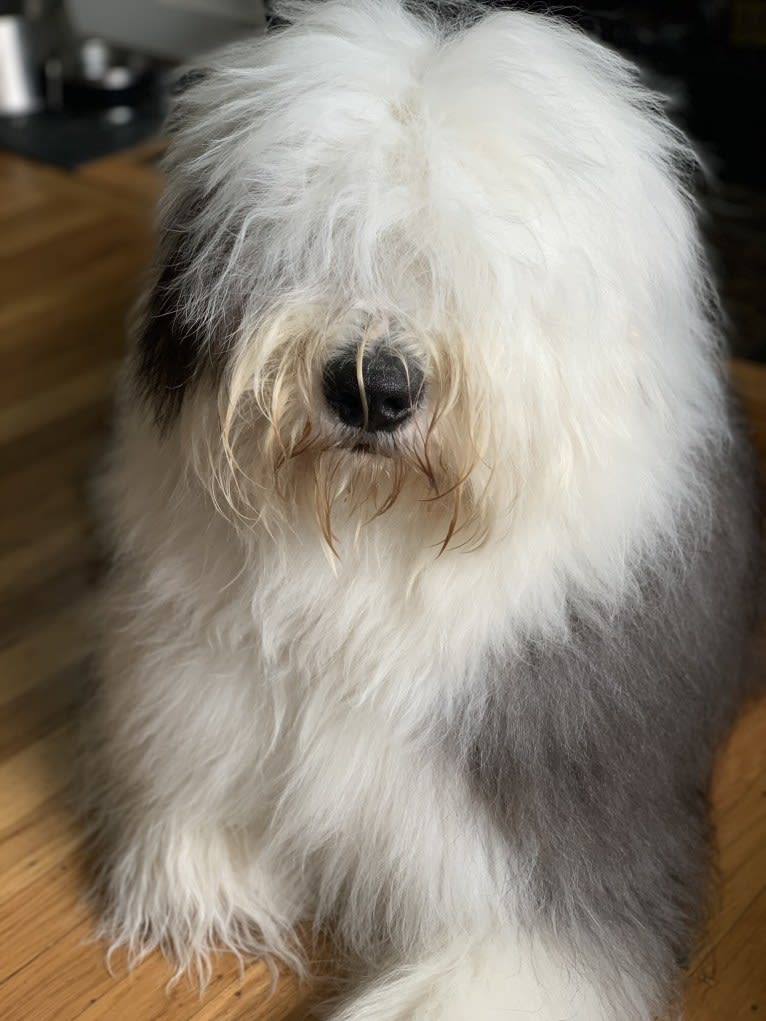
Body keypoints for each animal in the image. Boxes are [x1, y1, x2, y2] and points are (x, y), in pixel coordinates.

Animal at [82, 3, 763, 1016]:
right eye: (303, 245)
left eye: (477, 268)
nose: (373, 386)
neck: (373, 549)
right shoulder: (201, 689)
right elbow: (195, 811)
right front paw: (215, 878)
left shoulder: (553, 837)